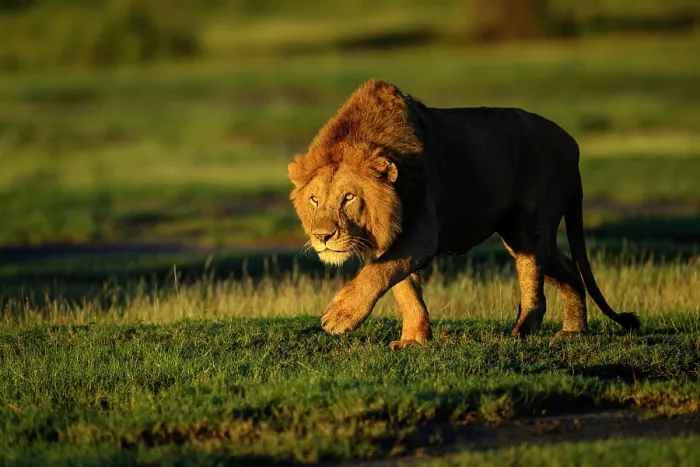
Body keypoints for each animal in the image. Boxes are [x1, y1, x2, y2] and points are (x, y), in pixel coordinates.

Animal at [288, 79, 640, 349]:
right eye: (315, 200)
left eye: (348, 197)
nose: (322, 236)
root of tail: (572, 144)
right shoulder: (389, 238)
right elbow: (403, 288)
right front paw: (414, 338)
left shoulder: (422, 231)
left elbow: (379, 272)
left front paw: (340, 317)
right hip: (519, 233)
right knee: (569, 270)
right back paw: (573, 331)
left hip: (530, 226)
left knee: (535, 282)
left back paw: (522, 331)